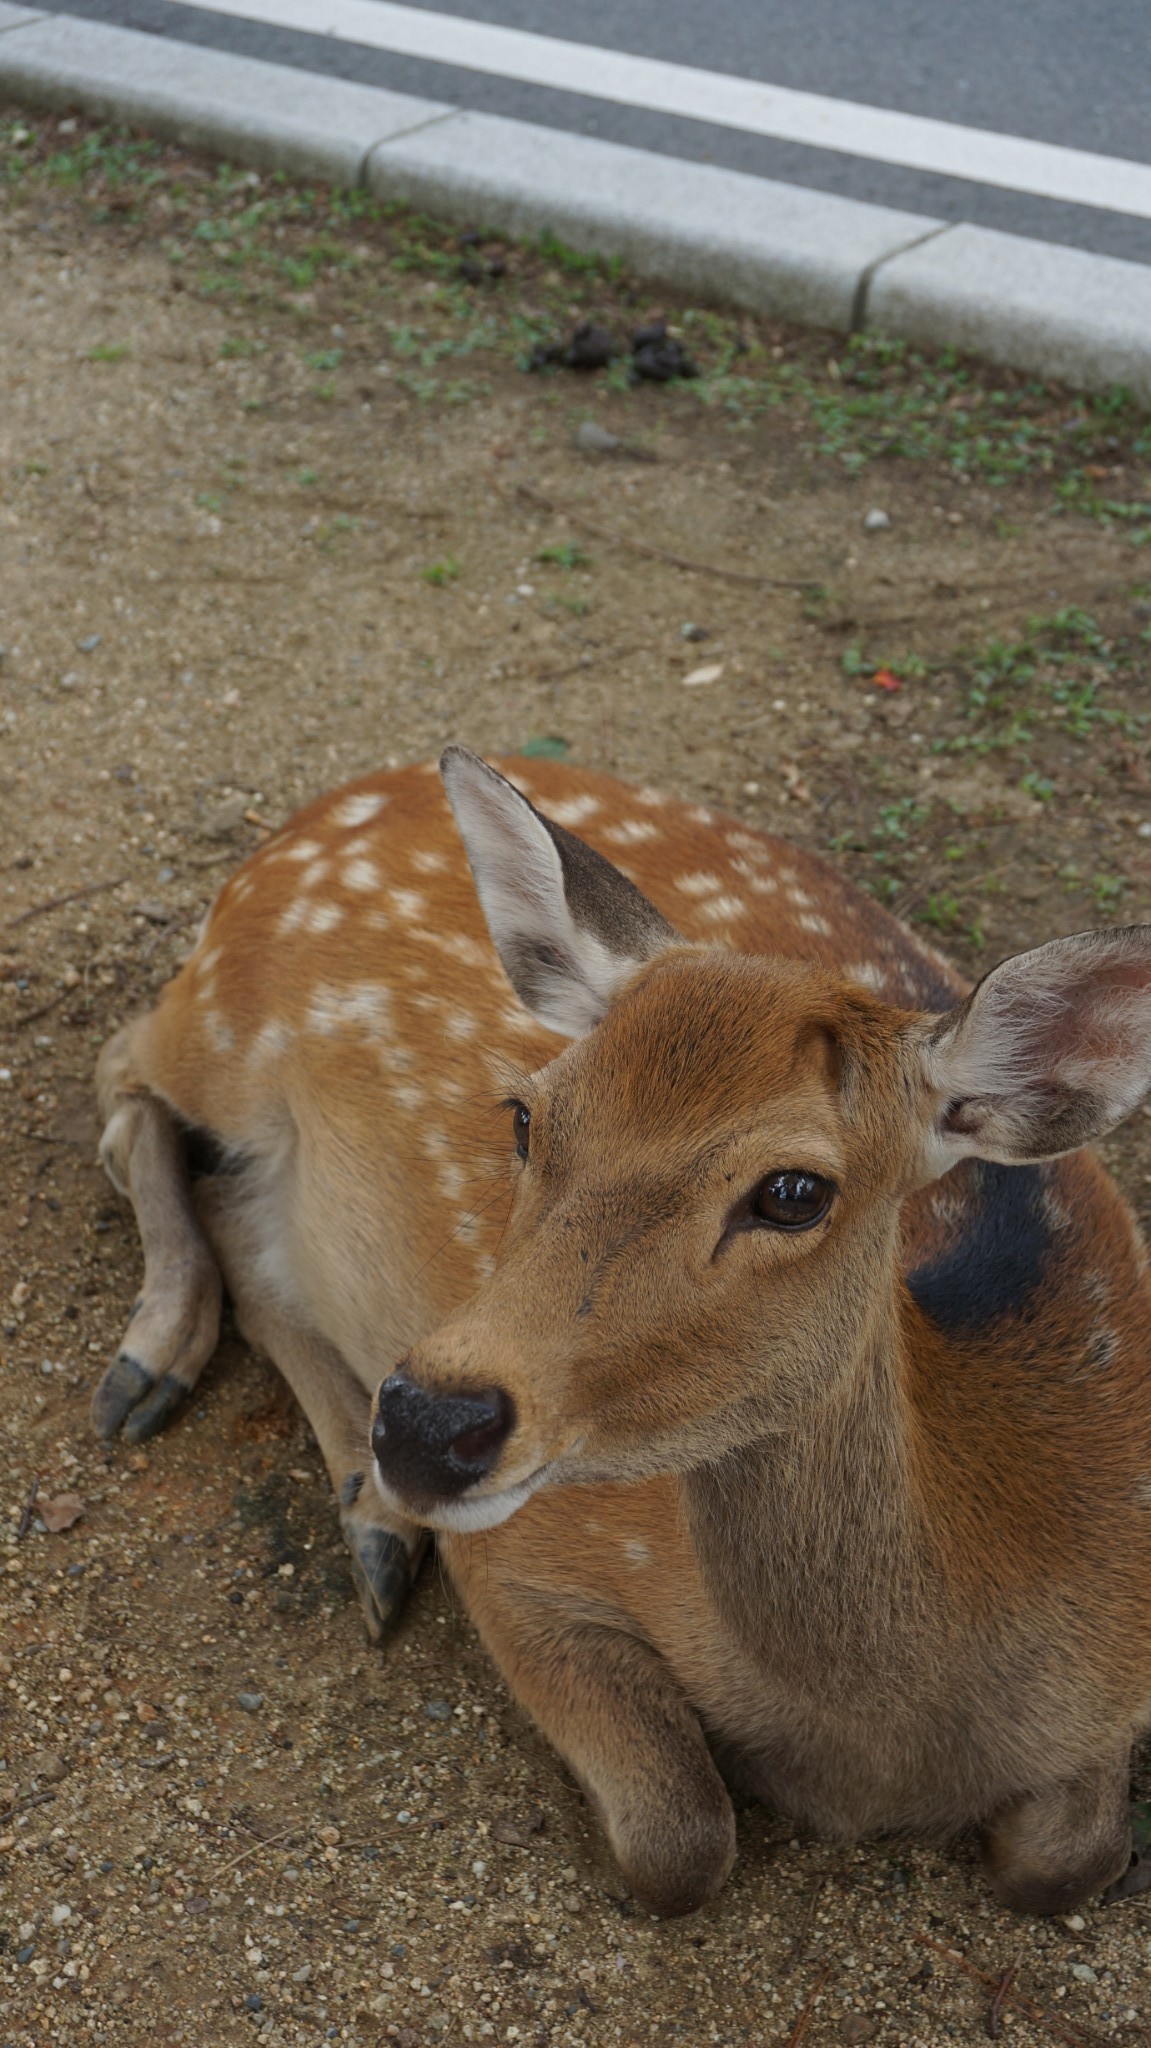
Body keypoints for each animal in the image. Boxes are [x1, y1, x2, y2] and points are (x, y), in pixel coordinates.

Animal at [94, 749, 1146, 1916]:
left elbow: (1069, 1858)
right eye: (525, 1116)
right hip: (219, 1026)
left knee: (238, 1212)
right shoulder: (521, 1556)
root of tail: (323, 806)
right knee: (123, 1073)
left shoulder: (1113, 1692)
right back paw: (172, 1379)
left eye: (793, 1191)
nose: (425, 1422)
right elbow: (677, 1839)